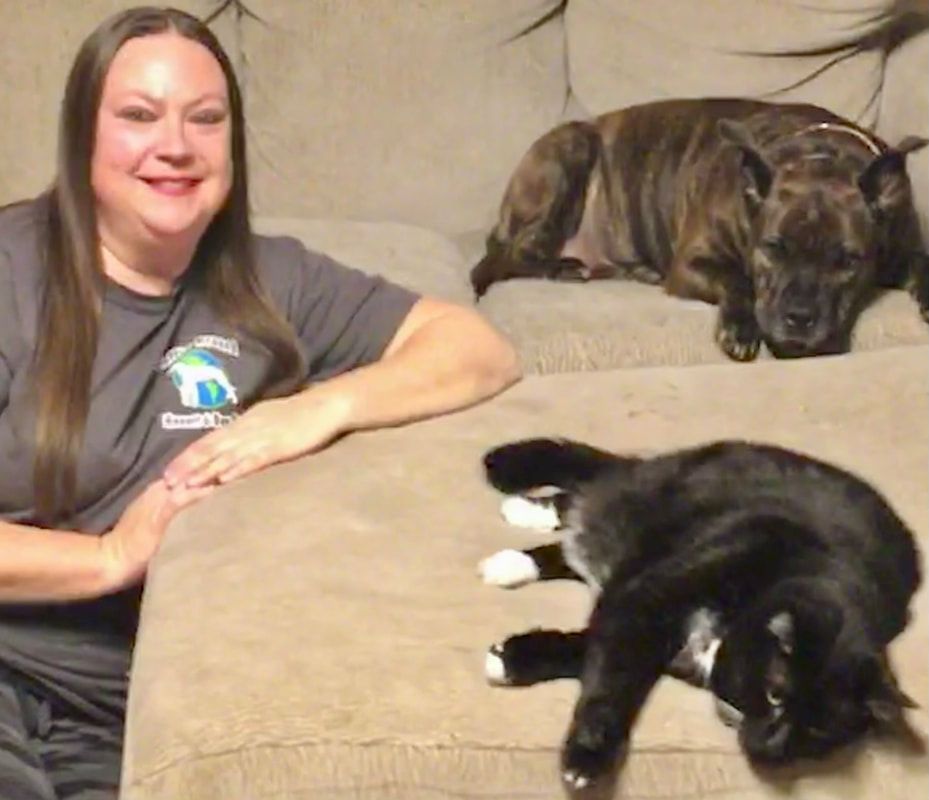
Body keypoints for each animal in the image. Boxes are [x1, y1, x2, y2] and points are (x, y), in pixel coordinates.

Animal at [472, 99, 928, 360]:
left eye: (849, 260)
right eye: (772, 248)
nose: (799, 318)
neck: (822, 159)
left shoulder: (903, 245)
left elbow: (922, 263)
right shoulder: (693, 263)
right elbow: (735, 279)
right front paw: (740, 328)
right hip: (570, 150)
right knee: (512, 254)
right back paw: (564, 267)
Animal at [478, 440, 920, 796]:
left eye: (817, 732)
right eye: (775, 694)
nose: (772, 750)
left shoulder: (643, 617)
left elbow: (589, 649)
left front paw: (512, 658)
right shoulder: (649, 599)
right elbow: (612, 680)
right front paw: (588, 756)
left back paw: (514, 563)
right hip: (649, 497)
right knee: (586, 494)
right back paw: (524, 511)